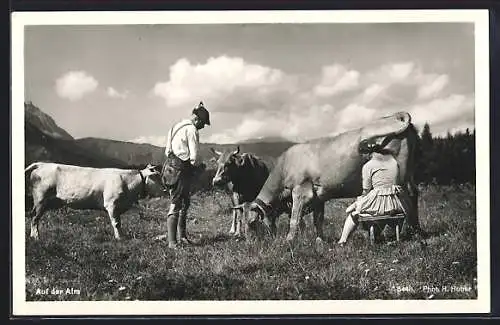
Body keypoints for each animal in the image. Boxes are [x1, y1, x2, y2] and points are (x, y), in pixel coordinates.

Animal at [24, 161, 165, 239]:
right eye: (156, 176)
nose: (165, 189)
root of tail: (42, 164)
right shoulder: (111, 204)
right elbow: (116, 223)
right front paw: (119, 238)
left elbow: (119, 223)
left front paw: (121, 236)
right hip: (40, 199)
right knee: (34, 217)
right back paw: (36, 237)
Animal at [235, 111, 426, 243]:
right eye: (242, 223)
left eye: (252, 223)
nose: (250, 243)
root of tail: (397, 115)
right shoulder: (318, 197)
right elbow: (317, 220)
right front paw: (320, 240)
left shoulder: (301, 191)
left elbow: (294, 219)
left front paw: (289, 240)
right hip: (409, 171)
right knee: (414, 193)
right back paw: (416, 230)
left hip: (401, 170)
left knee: (407, 196)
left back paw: (411, 231)